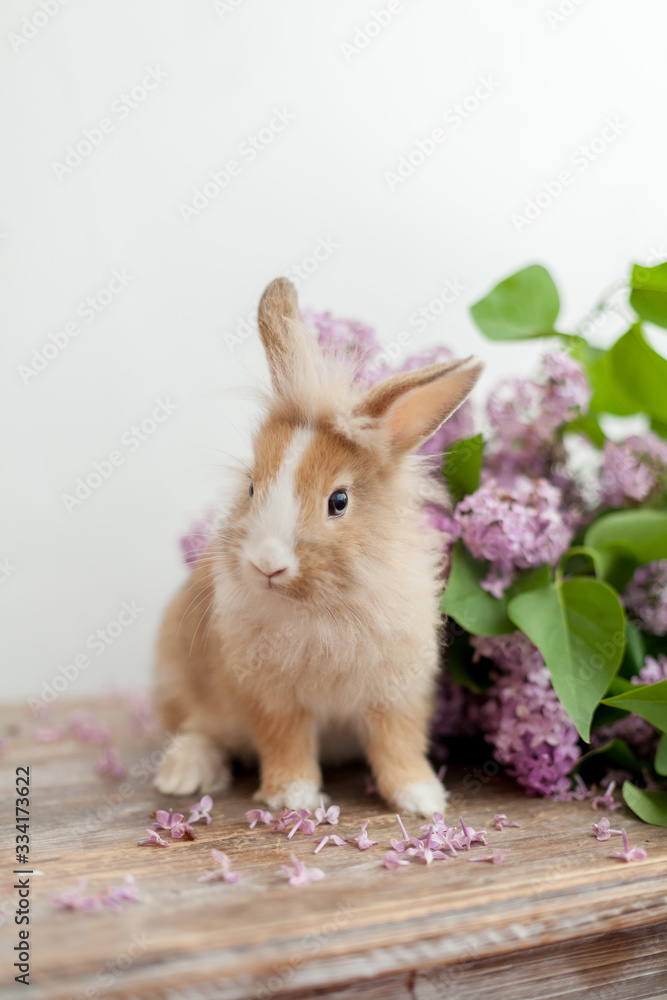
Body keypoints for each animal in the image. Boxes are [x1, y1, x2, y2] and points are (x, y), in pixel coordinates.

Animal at [153, 277, 482, 817]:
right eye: (250, 488)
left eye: (339, 501)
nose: (267, 564)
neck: (322, 606)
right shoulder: (271, 698)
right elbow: (286, 743)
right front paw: (295, 800)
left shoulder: (398, 694)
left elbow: (398, 745)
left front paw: (423, 800)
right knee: (197, 729)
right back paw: (183, 776)